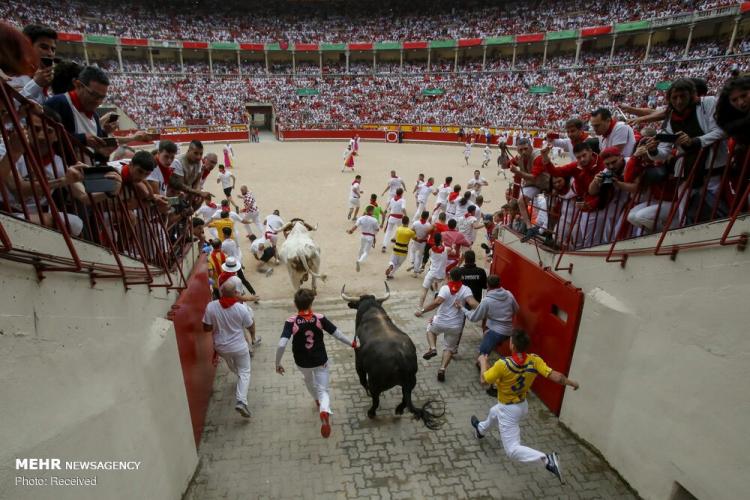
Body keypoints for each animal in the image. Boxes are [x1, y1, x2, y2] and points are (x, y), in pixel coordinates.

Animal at [342, 284, 444, 428]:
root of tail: (400, 358)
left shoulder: (359, 362)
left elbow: (362, 380)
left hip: (375, 383)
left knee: (376, 400)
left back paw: (371, 413)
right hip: (411, 381)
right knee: (405, 398)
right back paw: (398, 410)